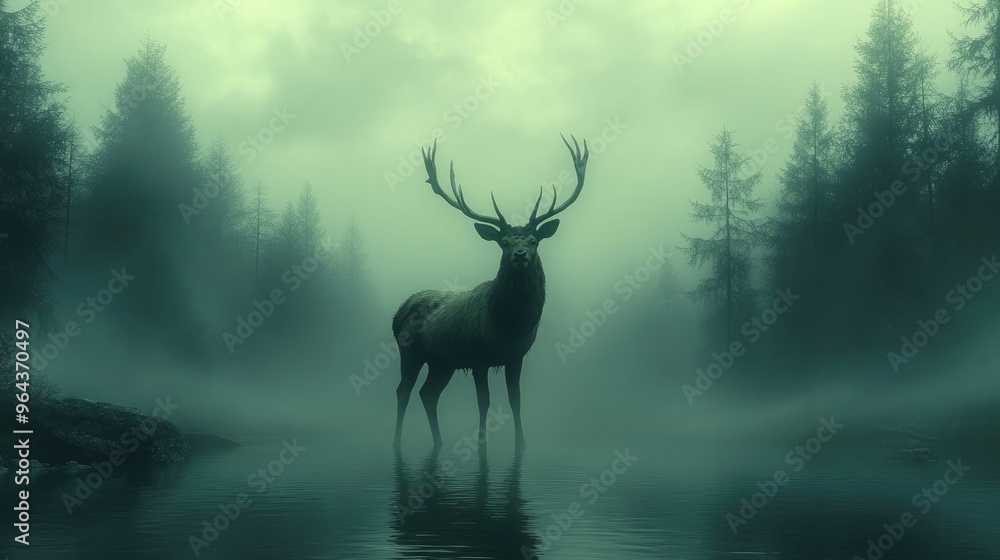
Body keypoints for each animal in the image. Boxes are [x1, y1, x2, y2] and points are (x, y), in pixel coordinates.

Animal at [391, 135, 589, 453]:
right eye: (504, 242)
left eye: (533, 240)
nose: (520, 255)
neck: (508, 326)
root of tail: (397, 311)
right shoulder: (478, 356)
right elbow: (483, 402)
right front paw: (481, 446)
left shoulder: (516, 356)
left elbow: (515, 401)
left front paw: (521, 444)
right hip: (409, 350)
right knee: (403, 391)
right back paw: (397, 442)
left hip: (442, 362)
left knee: (428, 394)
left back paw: (439, 442)